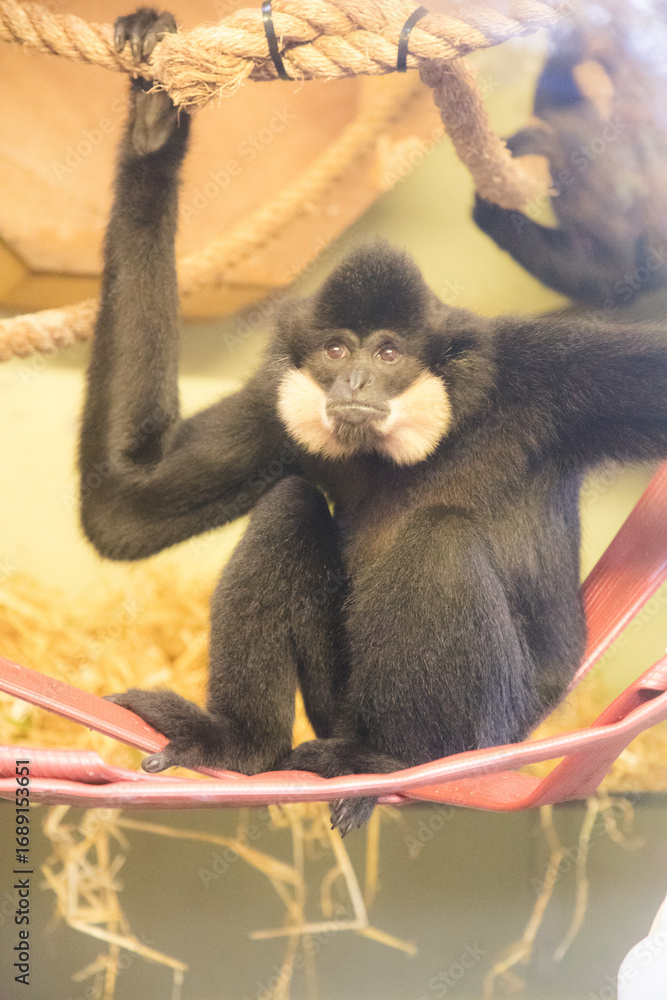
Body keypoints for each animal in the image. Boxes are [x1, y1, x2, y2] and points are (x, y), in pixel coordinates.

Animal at [80, 9, 667, 835]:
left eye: (387, 351)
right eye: (336, 349)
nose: (354, 378)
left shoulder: (545, 374)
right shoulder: (279, 396)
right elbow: (125, 508)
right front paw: (153, 128)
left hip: (491, 730)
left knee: (438, 542)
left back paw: (392, 764)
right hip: (336, 705)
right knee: (291, 505)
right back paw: (242, 745)